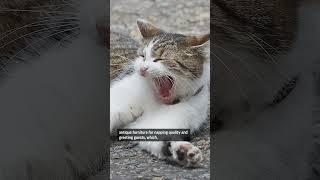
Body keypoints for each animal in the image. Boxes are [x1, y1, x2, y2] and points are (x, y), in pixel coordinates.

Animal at [110, 19, 210, 167]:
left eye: (160, 59)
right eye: (142, 56)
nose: (143, 69)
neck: (155, 100)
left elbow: (162, 141)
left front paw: (183, 151)